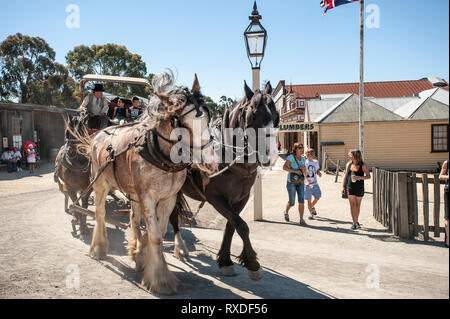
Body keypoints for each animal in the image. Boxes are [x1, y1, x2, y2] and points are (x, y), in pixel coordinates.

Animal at [171, 81, 280, 282]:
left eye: (276, 117)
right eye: (252, 114)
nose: (270, 155)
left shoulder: (241, 198)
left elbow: (232, 225)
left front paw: (225, 260)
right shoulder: (215, 198)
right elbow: (242, 226)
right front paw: (252, 263)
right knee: (172, 216)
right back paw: (179, 248)